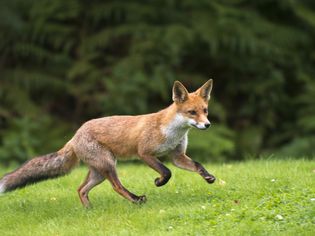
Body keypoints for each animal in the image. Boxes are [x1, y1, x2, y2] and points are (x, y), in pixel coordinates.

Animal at [0, 79, 216, 206]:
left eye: (205, 110)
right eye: (191, 112)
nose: (207, 125)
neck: (172, 131)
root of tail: (75, 135)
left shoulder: (177, 155)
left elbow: (197, 165)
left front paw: (208, 177)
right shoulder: (144, 153)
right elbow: (167, 172)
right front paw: (159, 182)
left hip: (99, 172)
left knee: (80, 189)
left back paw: (89, 211)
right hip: (109, 165)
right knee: (117, 187)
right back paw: (136, 200)